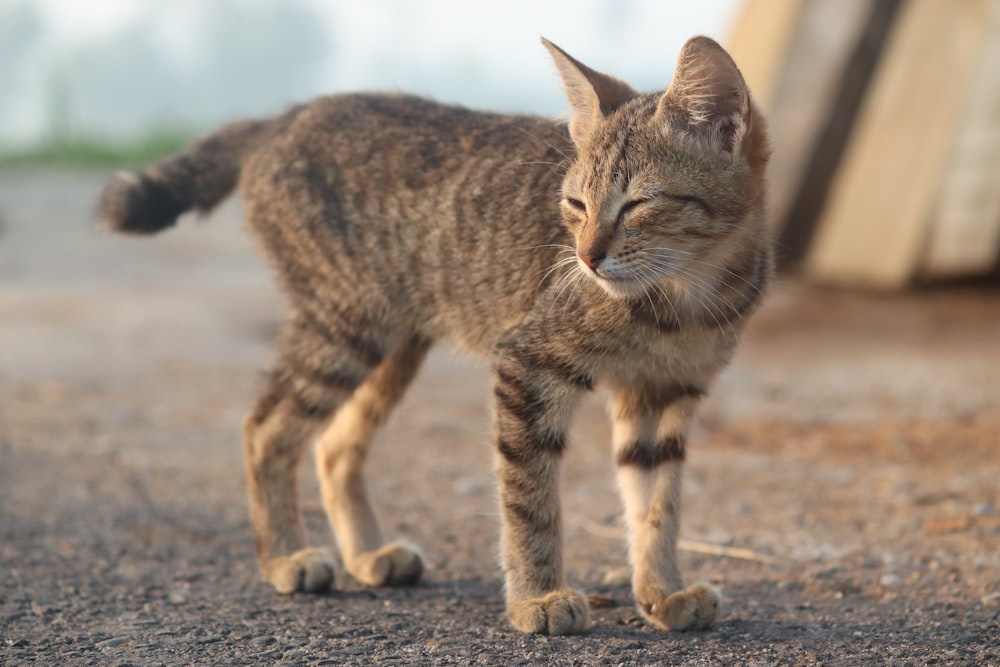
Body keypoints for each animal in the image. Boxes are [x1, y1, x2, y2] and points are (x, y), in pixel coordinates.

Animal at [99, 36, 772, 636]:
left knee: (334, 443)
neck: (686, 297)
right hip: (346, 325)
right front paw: (537, 598)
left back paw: (367, 555)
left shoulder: (663, 392)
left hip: (392, 343)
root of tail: (288, 115)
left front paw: (661, 592)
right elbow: (529, 500)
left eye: (636, 205)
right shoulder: (528, 362)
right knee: (267, 426)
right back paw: (286, 556)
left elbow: (656, 503)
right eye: (575, 205)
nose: (585, 257)